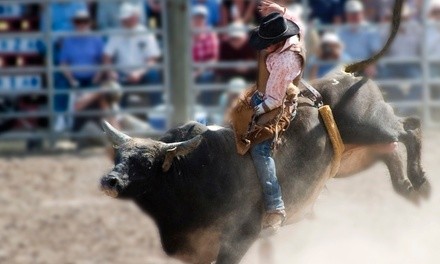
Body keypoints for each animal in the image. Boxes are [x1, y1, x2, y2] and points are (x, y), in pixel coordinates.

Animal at [99, 1, 430, 262]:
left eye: (146, 163)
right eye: (118, 156)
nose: (109, 180)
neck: (191, 175)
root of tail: (348, 74)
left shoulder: (237, 241)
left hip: (373, 125)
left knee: (410, 129)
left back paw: (421, 183)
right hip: (357, 154)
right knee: (394, 150)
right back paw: (408, 190)